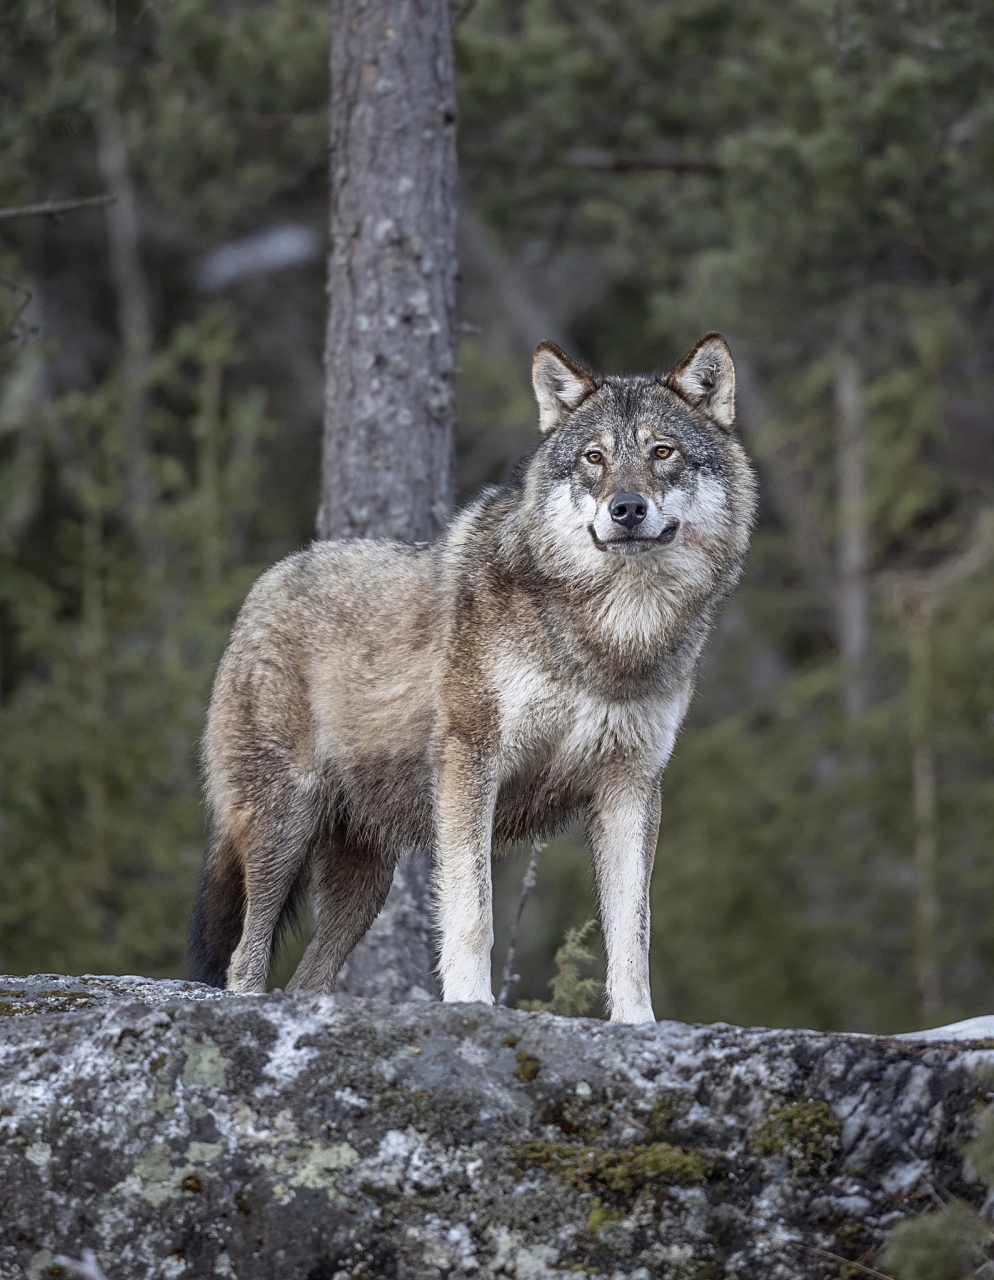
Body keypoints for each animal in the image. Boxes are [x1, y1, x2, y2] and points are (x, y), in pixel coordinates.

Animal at [190, 335, 757, 1024]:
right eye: (594, 458)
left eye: (662, 452)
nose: (626, 509)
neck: (609, 640)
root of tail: (264, 585)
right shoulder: (471, 765)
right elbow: (473, 913)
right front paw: (471, 1004)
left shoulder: (631, 786)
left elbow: (633, 932)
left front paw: (637, 1025)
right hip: (284, 826)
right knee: (244, 960)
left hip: (365, 882)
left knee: (306, 977)